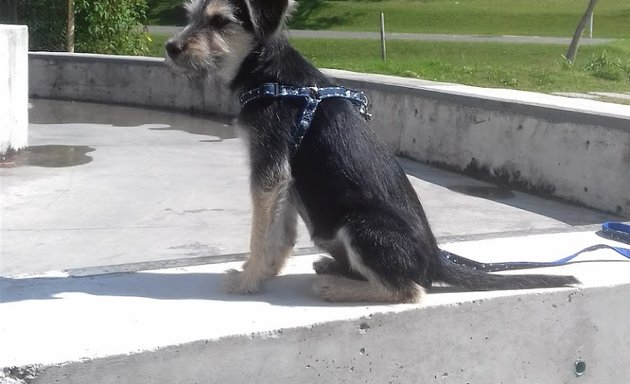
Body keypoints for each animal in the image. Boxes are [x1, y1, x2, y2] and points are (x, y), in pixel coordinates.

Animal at [165, 0, 580, 304]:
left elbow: (260, 233)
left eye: (220, 22)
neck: (267, 70)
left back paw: (336, 287)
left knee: (411, 290)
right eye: (190, 15)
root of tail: (435, 260)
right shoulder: (283, 175)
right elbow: (279, 235)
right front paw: (263, 273)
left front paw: (247, 280)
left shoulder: (268, 166)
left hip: (362, 226)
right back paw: (334, 271)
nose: (170, 47)